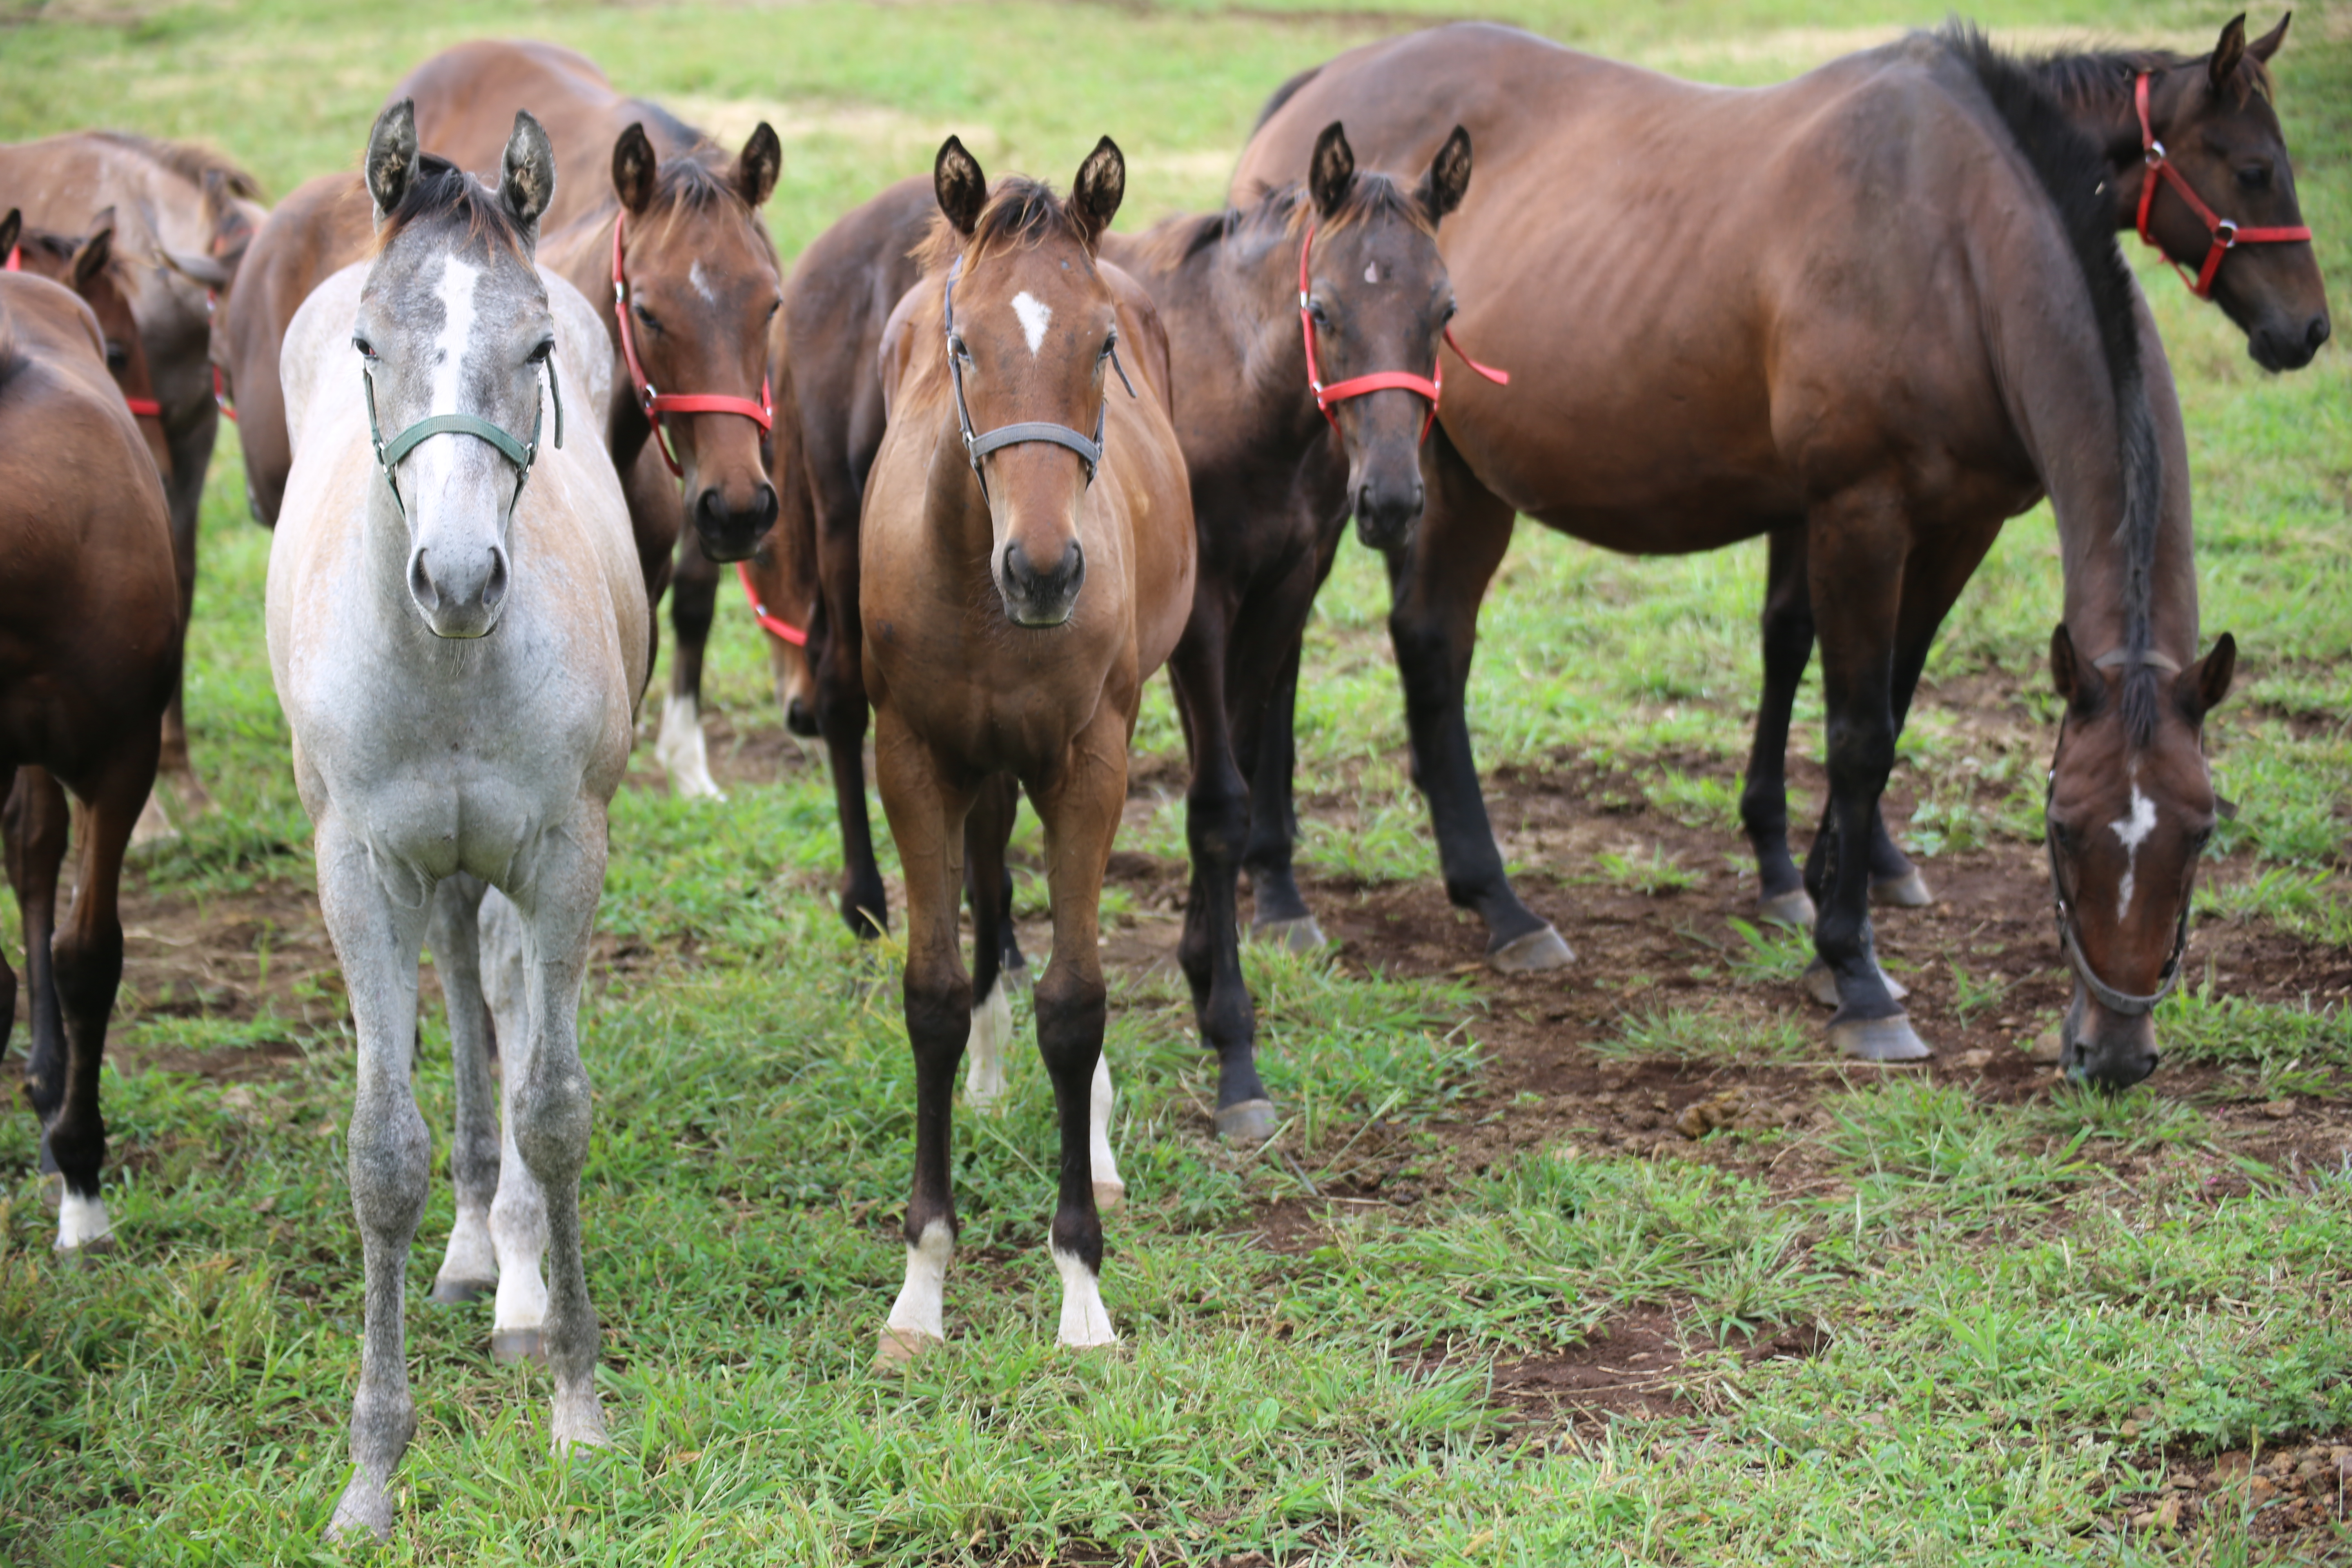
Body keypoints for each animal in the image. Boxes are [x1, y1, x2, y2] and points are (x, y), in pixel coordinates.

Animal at [269, 104, 644, 1542]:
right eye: (373, 345)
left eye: (534, 349)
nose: (461, 577)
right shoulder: (362, 871)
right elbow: (385, 1155)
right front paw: (371, 1473)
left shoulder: (563, 858)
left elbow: (556, 1108)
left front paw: (578, 1400)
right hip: (429, 872)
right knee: (464, 998)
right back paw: (479, 1244)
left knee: (503, 1003)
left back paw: (517, 1273)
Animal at [870, 138, 1195, 1363]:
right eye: (963, 347)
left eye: (1101, 345)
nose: (1047, 570)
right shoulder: (911, 755)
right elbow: (930, 990)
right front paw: (919, 1289)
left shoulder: (1088, 759)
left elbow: (1079, 1000)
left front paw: (1081, 1288)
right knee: (993, 882)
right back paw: (988, 1067)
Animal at [1232, 24, 2239, 1086]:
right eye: (2061, 829)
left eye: (2202, 832)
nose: (2114, 1052)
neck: (1951, 244)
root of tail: (1320, 84)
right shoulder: (1856, 513)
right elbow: (1856, 735)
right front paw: (1855, 973)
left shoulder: (1956, 526)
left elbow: (1881, 706)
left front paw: (1823, 905)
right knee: (1320, 646)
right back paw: (1316, 889)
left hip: (1453, 476)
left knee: (1426, 640)